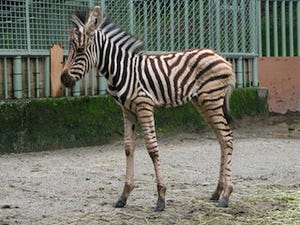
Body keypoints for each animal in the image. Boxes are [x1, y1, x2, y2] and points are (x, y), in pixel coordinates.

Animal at [61, 6, 236, 212]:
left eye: (80, 49)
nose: (63, 79)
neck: (120, 69)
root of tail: (221, 57)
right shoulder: (127, 110)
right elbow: (128, 147)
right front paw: (124, 195)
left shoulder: (144, 105)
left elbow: (152, 149)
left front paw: (161, 198)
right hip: (203, 102)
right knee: (221, 140)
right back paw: (217, 192)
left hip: (212, 99)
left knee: (227, 137)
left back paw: (226, 195)